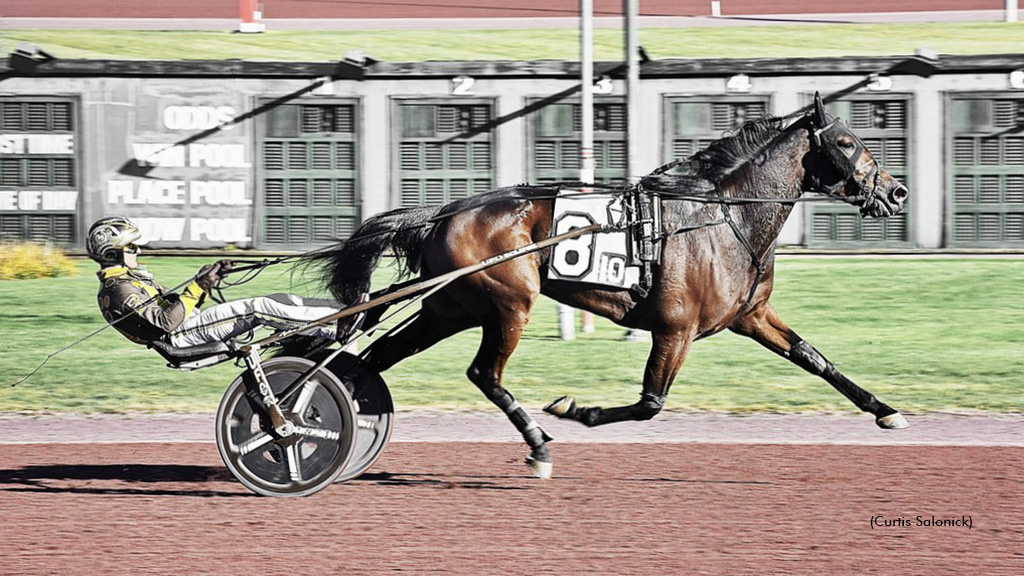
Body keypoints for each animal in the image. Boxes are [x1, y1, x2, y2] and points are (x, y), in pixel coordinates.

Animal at [304, 94, 911, 479]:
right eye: (847, 142)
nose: (897, 191)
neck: (723, 217)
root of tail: (445, 211)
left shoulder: (750, 316)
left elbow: (815, 359)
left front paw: (884, 408)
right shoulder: (675, 328)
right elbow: (649, 404)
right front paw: (576, 410)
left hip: (451, 306)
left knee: (373, 359)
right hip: (508, 303)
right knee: (483, 373)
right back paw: (538, 445)